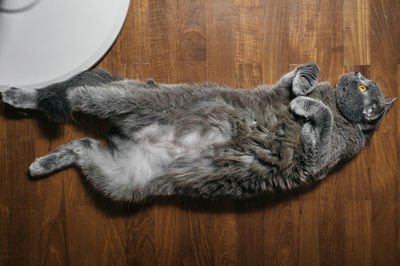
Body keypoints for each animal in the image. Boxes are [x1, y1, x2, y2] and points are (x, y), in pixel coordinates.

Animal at [0, 63, 394, 202]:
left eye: (364, 88)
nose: (355, 73)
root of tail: (127, 135)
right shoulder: (277, 87)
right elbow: (298, 74)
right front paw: (303, 82)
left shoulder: (319, 155)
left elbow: (319, 118)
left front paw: (305, 103)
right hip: (132, 104)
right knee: (72, 94)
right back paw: (20, 94)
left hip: (120, 179)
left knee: (79, 131)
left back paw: (38, 160)